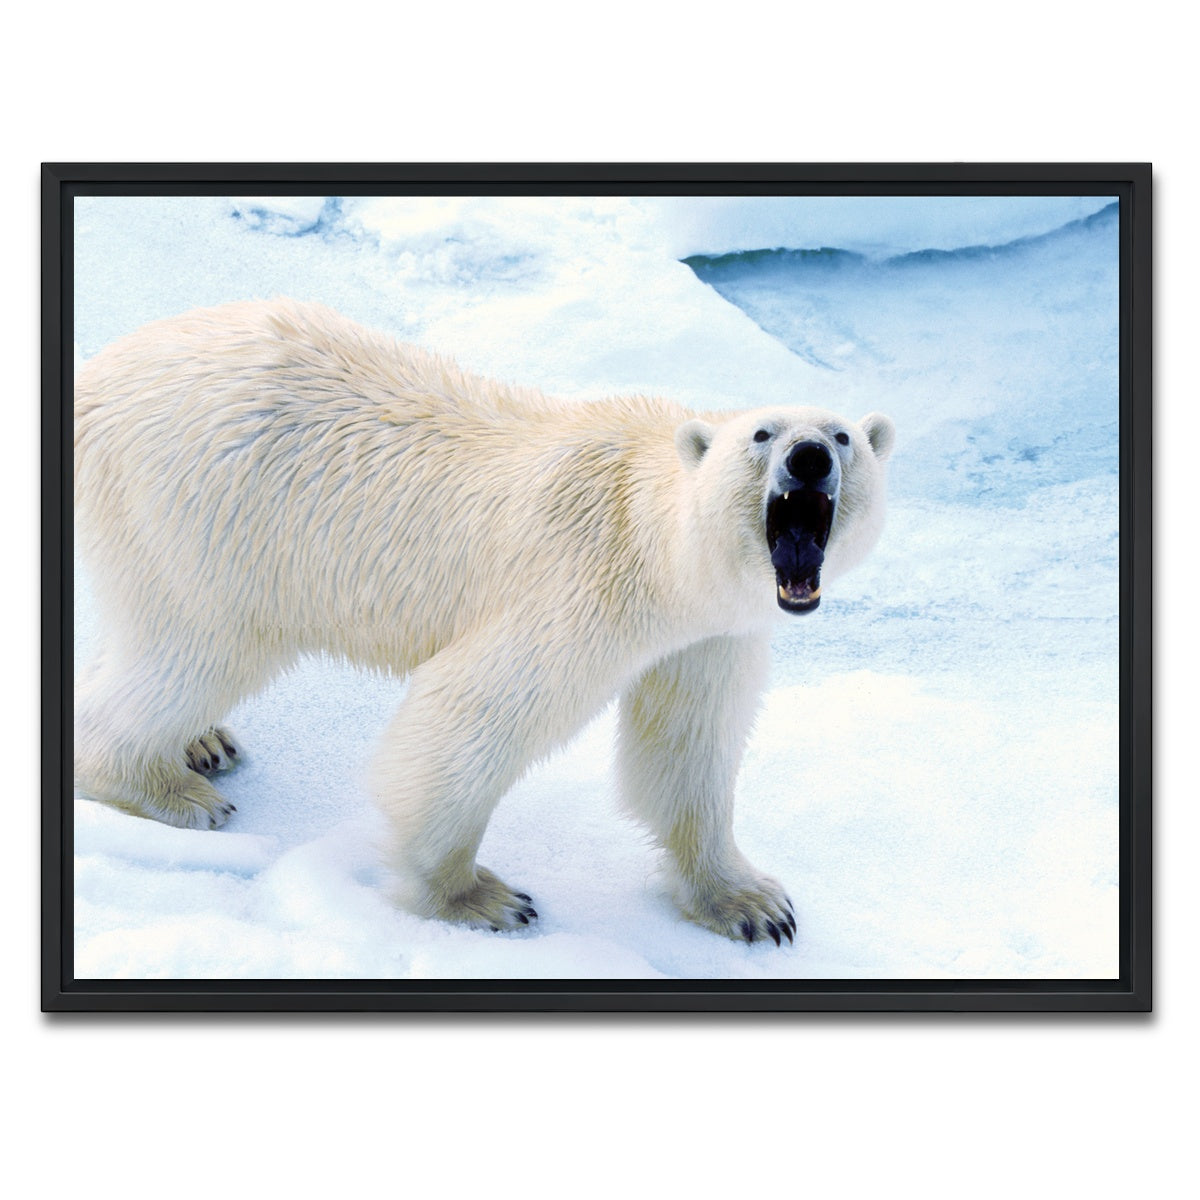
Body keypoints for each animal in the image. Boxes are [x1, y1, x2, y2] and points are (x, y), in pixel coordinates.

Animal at [74, 299, 895, 944]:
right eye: (761, 434)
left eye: (843, 435)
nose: (809, 457)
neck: (657, 540)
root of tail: (97, 374)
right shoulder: (581, 587)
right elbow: (468, 716)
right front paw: (479, 897)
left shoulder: (709, 635)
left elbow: (686, 748)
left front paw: (752, 903)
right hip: (206, 510)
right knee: (198, 647)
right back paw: (169, 787)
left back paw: (203, 741)